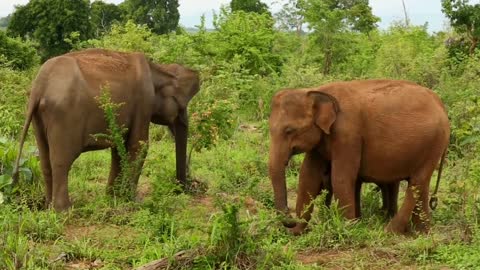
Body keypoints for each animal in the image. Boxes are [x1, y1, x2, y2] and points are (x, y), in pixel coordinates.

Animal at [13, 48, 200, 211]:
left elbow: (119, 148)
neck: (159, 69)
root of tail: (39, 88)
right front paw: (132, 201)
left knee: (45, 159)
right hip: (64, 116)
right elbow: (140, 146)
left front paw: (112, 198)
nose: (181, 189)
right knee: (61, 160)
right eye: (182, 106)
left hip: (38, 118)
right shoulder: (144, 101)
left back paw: (48, 207)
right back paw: (64, 211)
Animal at [270, 78, 450, 234]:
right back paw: (421, 232)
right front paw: (297, 232)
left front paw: (347, 228)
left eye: (289, 130)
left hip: (434, 143)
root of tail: (441, 105)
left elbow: (341, 178)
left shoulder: (348, 134)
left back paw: (390, 231)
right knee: (422, 184)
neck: (317, 91)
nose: (289, 219)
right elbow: (308, 177)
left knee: (417, 182)